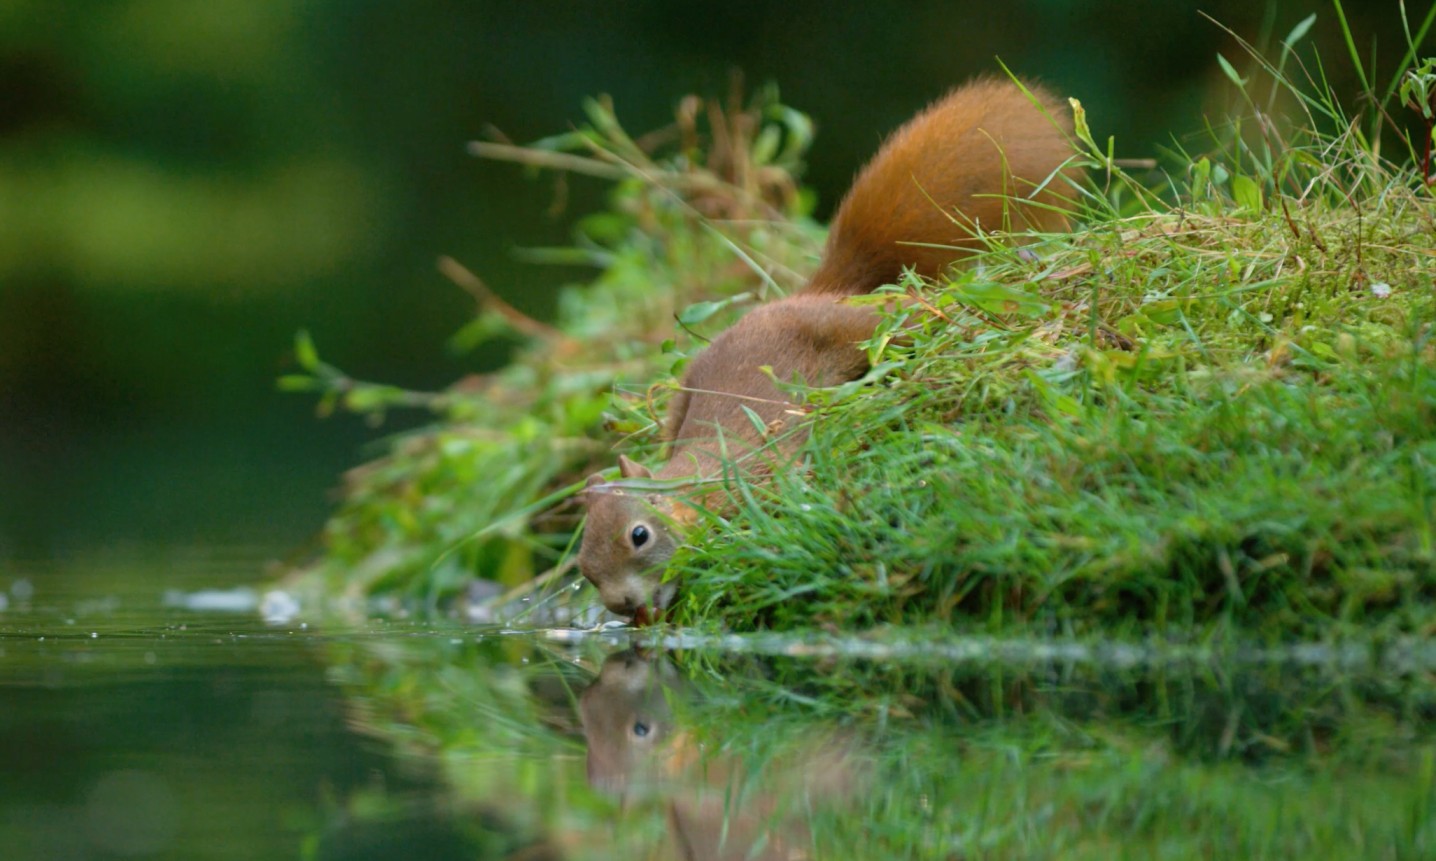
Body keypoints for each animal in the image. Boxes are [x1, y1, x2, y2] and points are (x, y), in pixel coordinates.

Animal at [576, 78, 1080, 623]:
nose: (622, 605)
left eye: (639, 535)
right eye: (584, 568)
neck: (703, 483)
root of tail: (819, 293)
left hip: (858, 326)